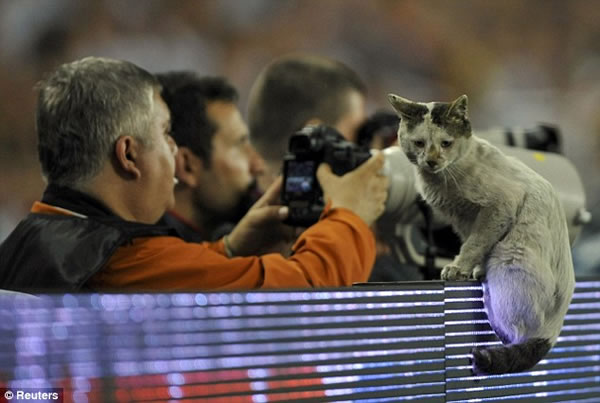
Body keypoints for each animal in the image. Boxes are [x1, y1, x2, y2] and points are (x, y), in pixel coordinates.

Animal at [386, 94, 576, 376]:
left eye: (446, 143)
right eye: (419, 143)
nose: (431, 160)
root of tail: (556, 327)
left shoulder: (500, 206)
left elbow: (474, 244)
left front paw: (457, 269)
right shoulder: (464, 220)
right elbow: (475, 243)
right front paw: (470, 270)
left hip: (508, 256)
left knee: (514, 332)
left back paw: (487, 294)